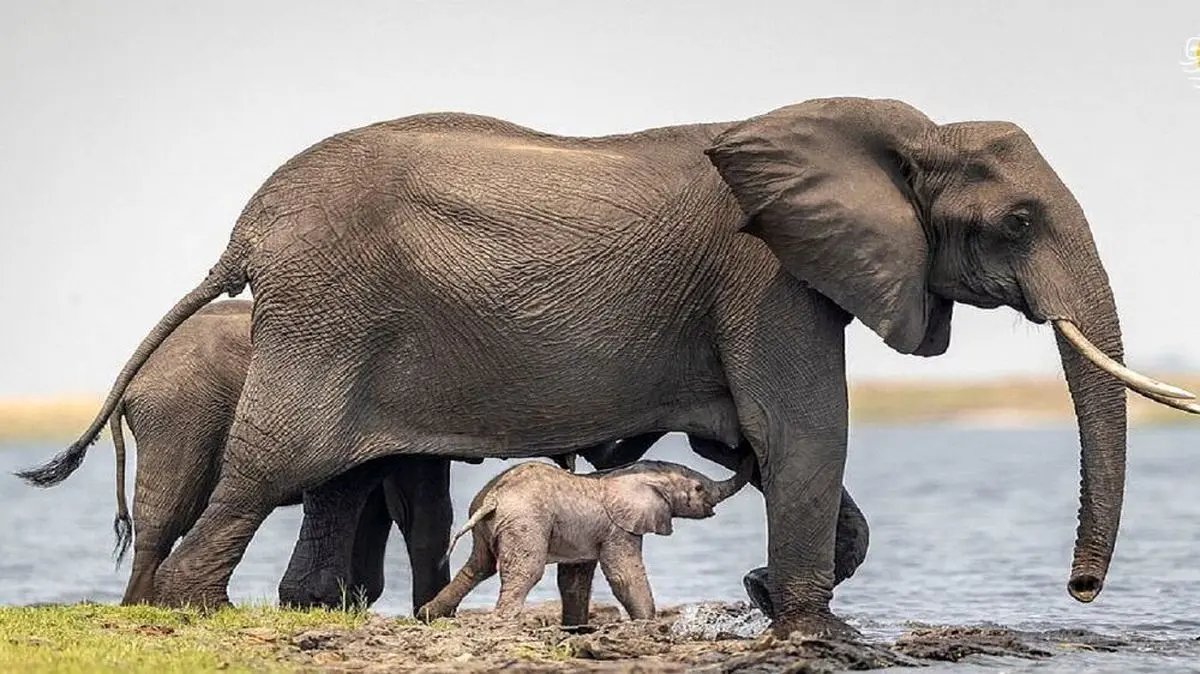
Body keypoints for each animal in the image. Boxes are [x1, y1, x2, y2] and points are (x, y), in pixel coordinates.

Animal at [412, 453, 748, 623]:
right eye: (699, 489)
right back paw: (503, 621)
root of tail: (494, 498)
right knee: (524, 571)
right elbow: (623, 575)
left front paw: (575, 629)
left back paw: (427, 615)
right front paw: (647, 624)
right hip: (526, 523)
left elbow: (574, 579)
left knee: (478, 566)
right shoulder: (619, 528)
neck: (631, 473)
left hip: (489, 524)